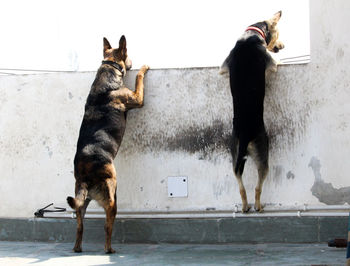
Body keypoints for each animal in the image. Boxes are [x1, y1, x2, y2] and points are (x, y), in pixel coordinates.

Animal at [67, 35, 150, 254]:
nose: (132, 62)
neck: (110, 67)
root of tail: (86, 176)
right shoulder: (136, 97)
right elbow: (139, 78)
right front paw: (143, 67)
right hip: (112, 198)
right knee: (107, 226)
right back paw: (109, 249)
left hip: (80, 205)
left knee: (79, 227)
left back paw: (77, 248)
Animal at [220, 11, 286, 213]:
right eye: (278, 35)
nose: (282, 46)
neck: (252, 33)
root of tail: (245, 135)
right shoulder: (271, 63)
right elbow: (276, 62)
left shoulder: (222, 67)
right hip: (263, 150)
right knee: (258, 186)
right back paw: (258, 206)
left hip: (234, 152)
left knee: (240, 185)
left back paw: (245, 206)